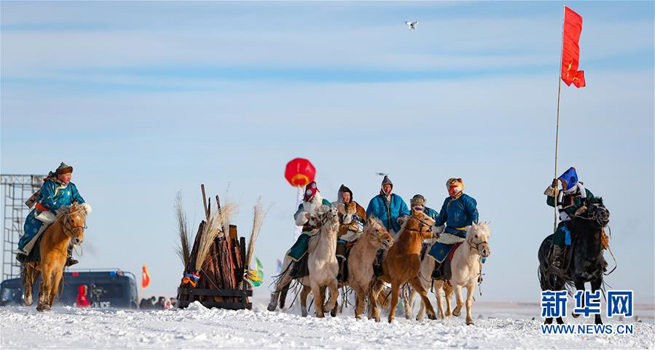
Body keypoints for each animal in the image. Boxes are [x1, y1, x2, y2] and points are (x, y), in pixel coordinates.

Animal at [540, 197, 608, 326]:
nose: (605, 213)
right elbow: (582, 297)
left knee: (556, 293)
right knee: (550, 293)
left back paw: (559, 322)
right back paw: (549, 320)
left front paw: (599, 323)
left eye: (604, 206)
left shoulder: (596, 279)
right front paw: (575, 313)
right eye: (593, 208)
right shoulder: (578, 279)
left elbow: (595, 301)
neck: (590, 255)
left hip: (561, 278)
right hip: (548, 276)